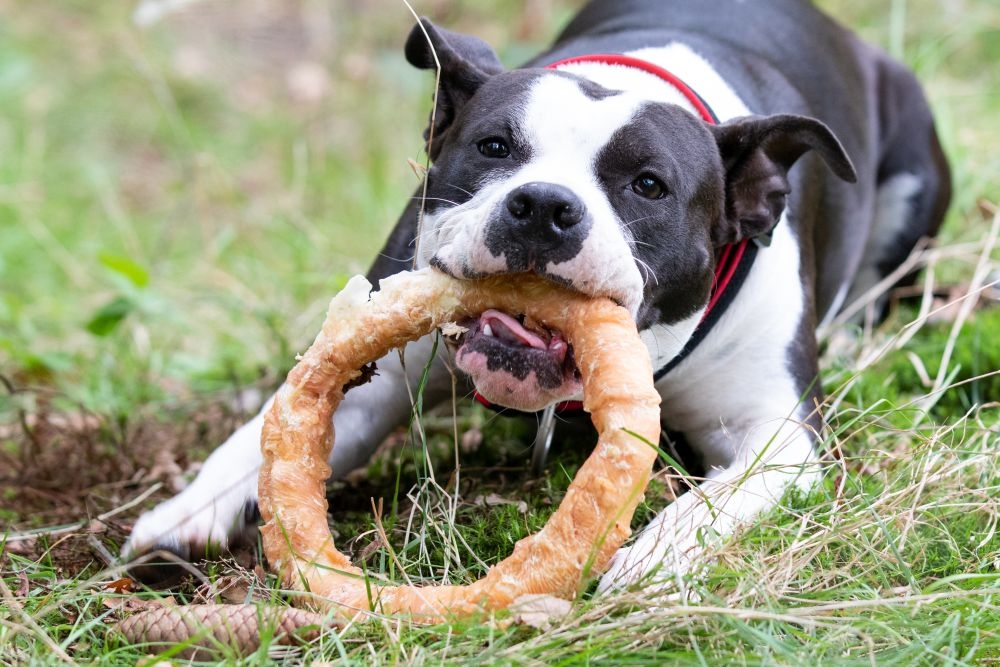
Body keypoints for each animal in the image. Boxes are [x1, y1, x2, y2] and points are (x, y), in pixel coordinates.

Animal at [127, 1, 952, 596]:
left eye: (648, 185)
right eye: (494, 147)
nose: (546, 205)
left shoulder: (780, 435)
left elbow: (715, 498)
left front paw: (658, 554)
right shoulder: (377, 369)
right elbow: (266, 433)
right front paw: (189, 508)